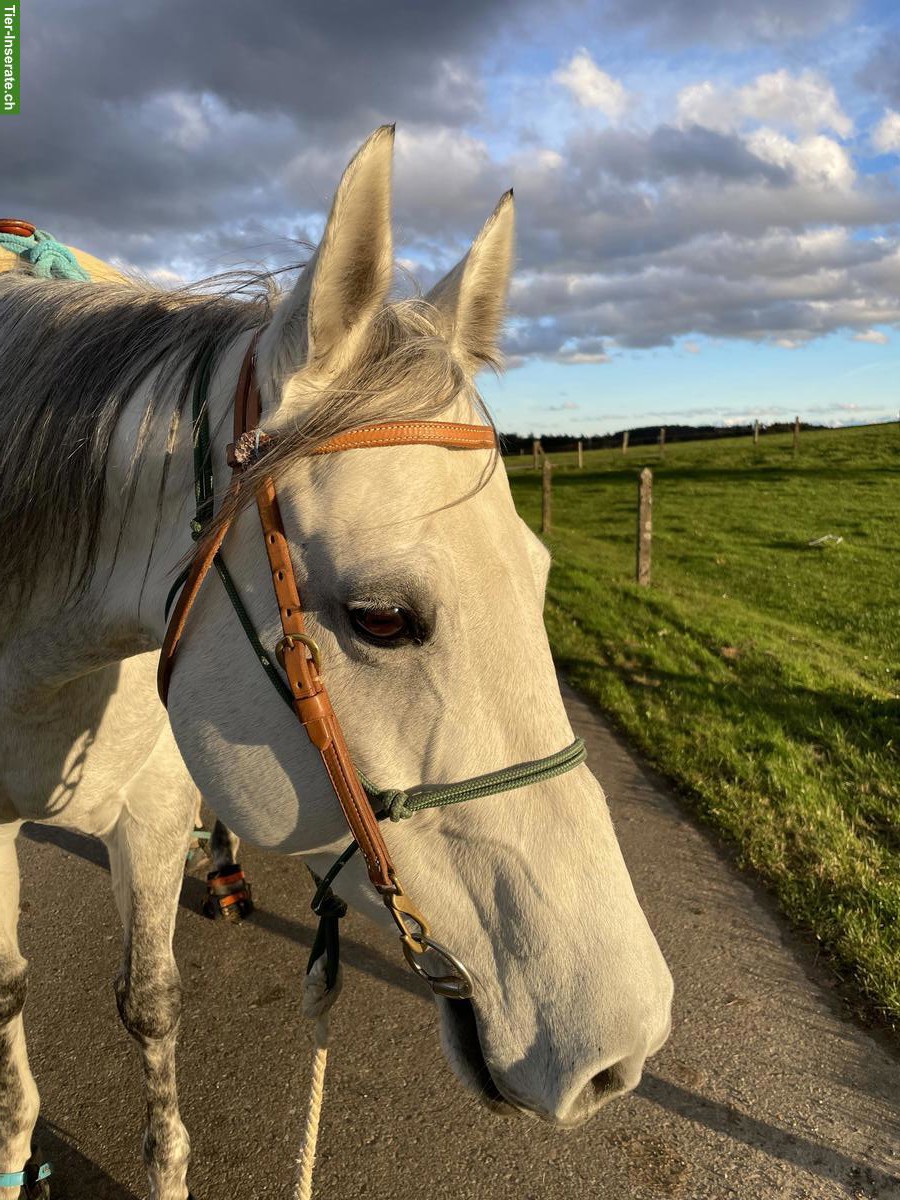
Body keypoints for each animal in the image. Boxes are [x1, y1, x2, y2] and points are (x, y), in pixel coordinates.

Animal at [0, 126, 673, 1199]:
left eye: (539, 578)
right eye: (382, 619)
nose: (625, 1043)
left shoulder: (151, 803)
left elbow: (150, 1000)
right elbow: (13, 1001)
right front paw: (17, 1145)